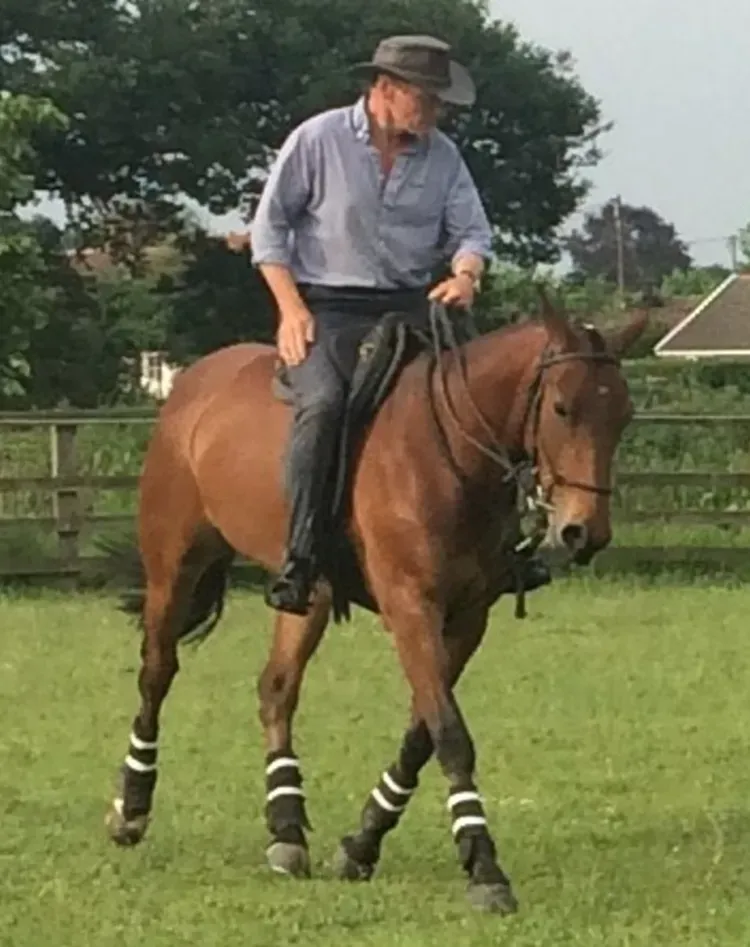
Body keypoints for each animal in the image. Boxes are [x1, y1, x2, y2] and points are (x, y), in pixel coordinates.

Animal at [103, 298, 648, 920]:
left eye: (623, 414)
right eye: (561, 407)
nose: (585, 533)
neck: (449, 453)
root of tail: (192, 382)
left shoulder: (467, 618)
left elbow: (422, 732)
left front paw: (361, 844)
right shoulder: (411, 609)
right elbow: (450, 733)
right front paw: (484, 868)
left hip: (306, 594)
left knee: (276, 688)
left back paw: (286, 830)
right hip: (174, 565)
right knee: (157, 672)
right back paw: (131, 807)